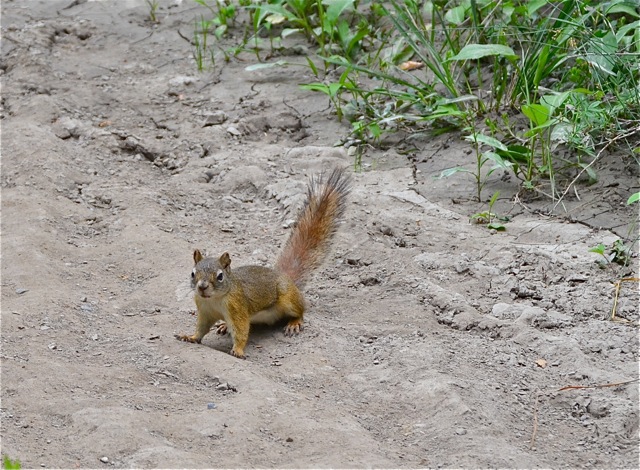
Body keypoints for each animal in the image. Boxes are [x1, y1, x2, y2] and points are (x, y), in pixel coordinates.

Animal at [175, 167, 350, 359]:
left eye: (220, 276)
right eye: (193, 273)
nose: (202, 287)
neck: (215, 299)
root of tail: (285, 277)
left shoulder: (237, 309)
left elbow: (241, 331)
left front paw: (238, 350)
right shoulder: (204, 311)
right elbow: (201, 329)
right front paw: (190, 337)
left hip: (288, 298)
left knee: (301, 309)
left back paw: (294, 322)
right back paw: (223, 326)